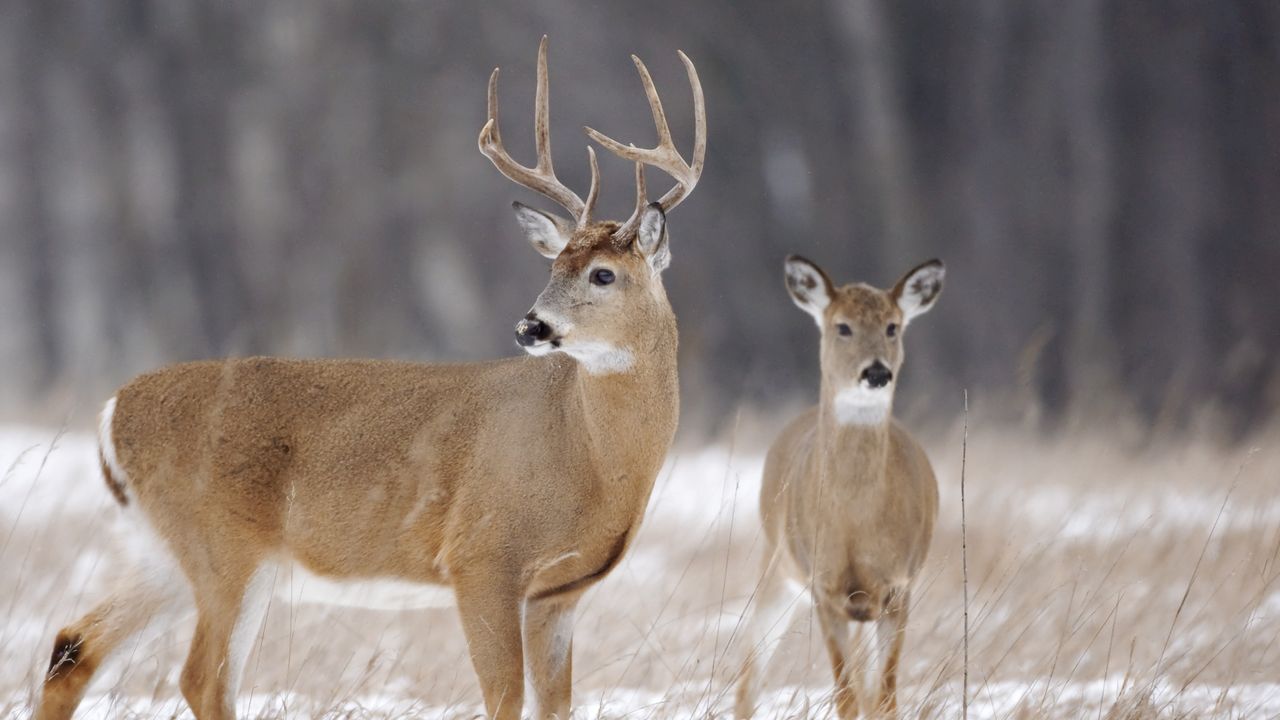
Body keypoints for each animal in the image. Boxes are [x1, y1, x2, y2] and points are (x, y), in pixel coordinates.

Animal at [37, 37, 711, 717]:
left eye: (603, 273)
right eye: (554, 267)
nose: (530, 326)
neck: (592, 458)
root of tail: (112, 411)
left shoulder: (561, 593)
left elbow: (555, 704)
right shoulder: (481, 558)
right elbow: (502, 697)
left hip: (164, 552)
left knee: (74, 644)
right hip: (224, 544)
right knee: (201, 675)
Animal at [737, 254, 947, 712]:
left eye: (892, 326)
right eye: (843, 326)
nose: (876, 372)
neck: (856, 524)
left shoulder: (898, 586)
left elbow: (883, 699)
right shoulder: (825, 586)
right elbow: (845, 697)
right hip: (777, 565)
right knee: (748, 679)